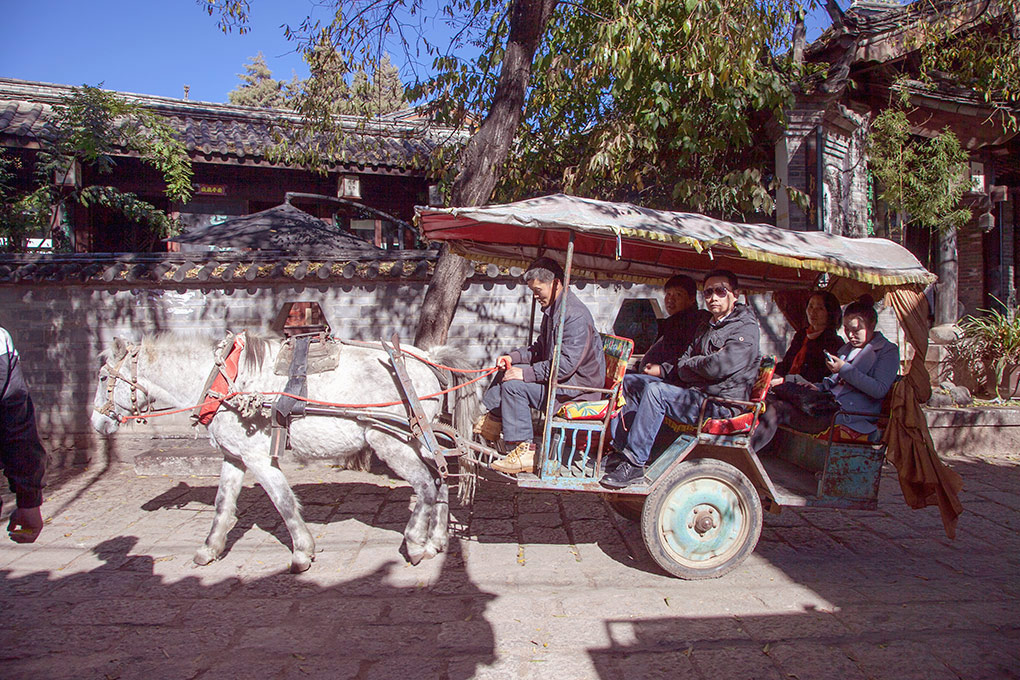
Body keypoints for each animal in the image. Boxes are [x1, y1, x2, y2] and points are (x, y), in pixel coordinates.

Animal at [91, 332, 473, 570]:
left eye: (101, 377)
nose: (97, 423)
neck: (224, 382)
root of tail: (426, 357)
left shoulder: (258, 459)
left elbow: (284, 502)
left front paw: (302, 552)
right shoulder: (234, 457)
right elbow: (222, 504)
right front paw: (209, 548)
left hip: (391, 440)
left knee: (425, 485)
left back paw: (416, 543)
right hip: (420, 438)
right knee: (441, 481)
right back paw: (437, 539)